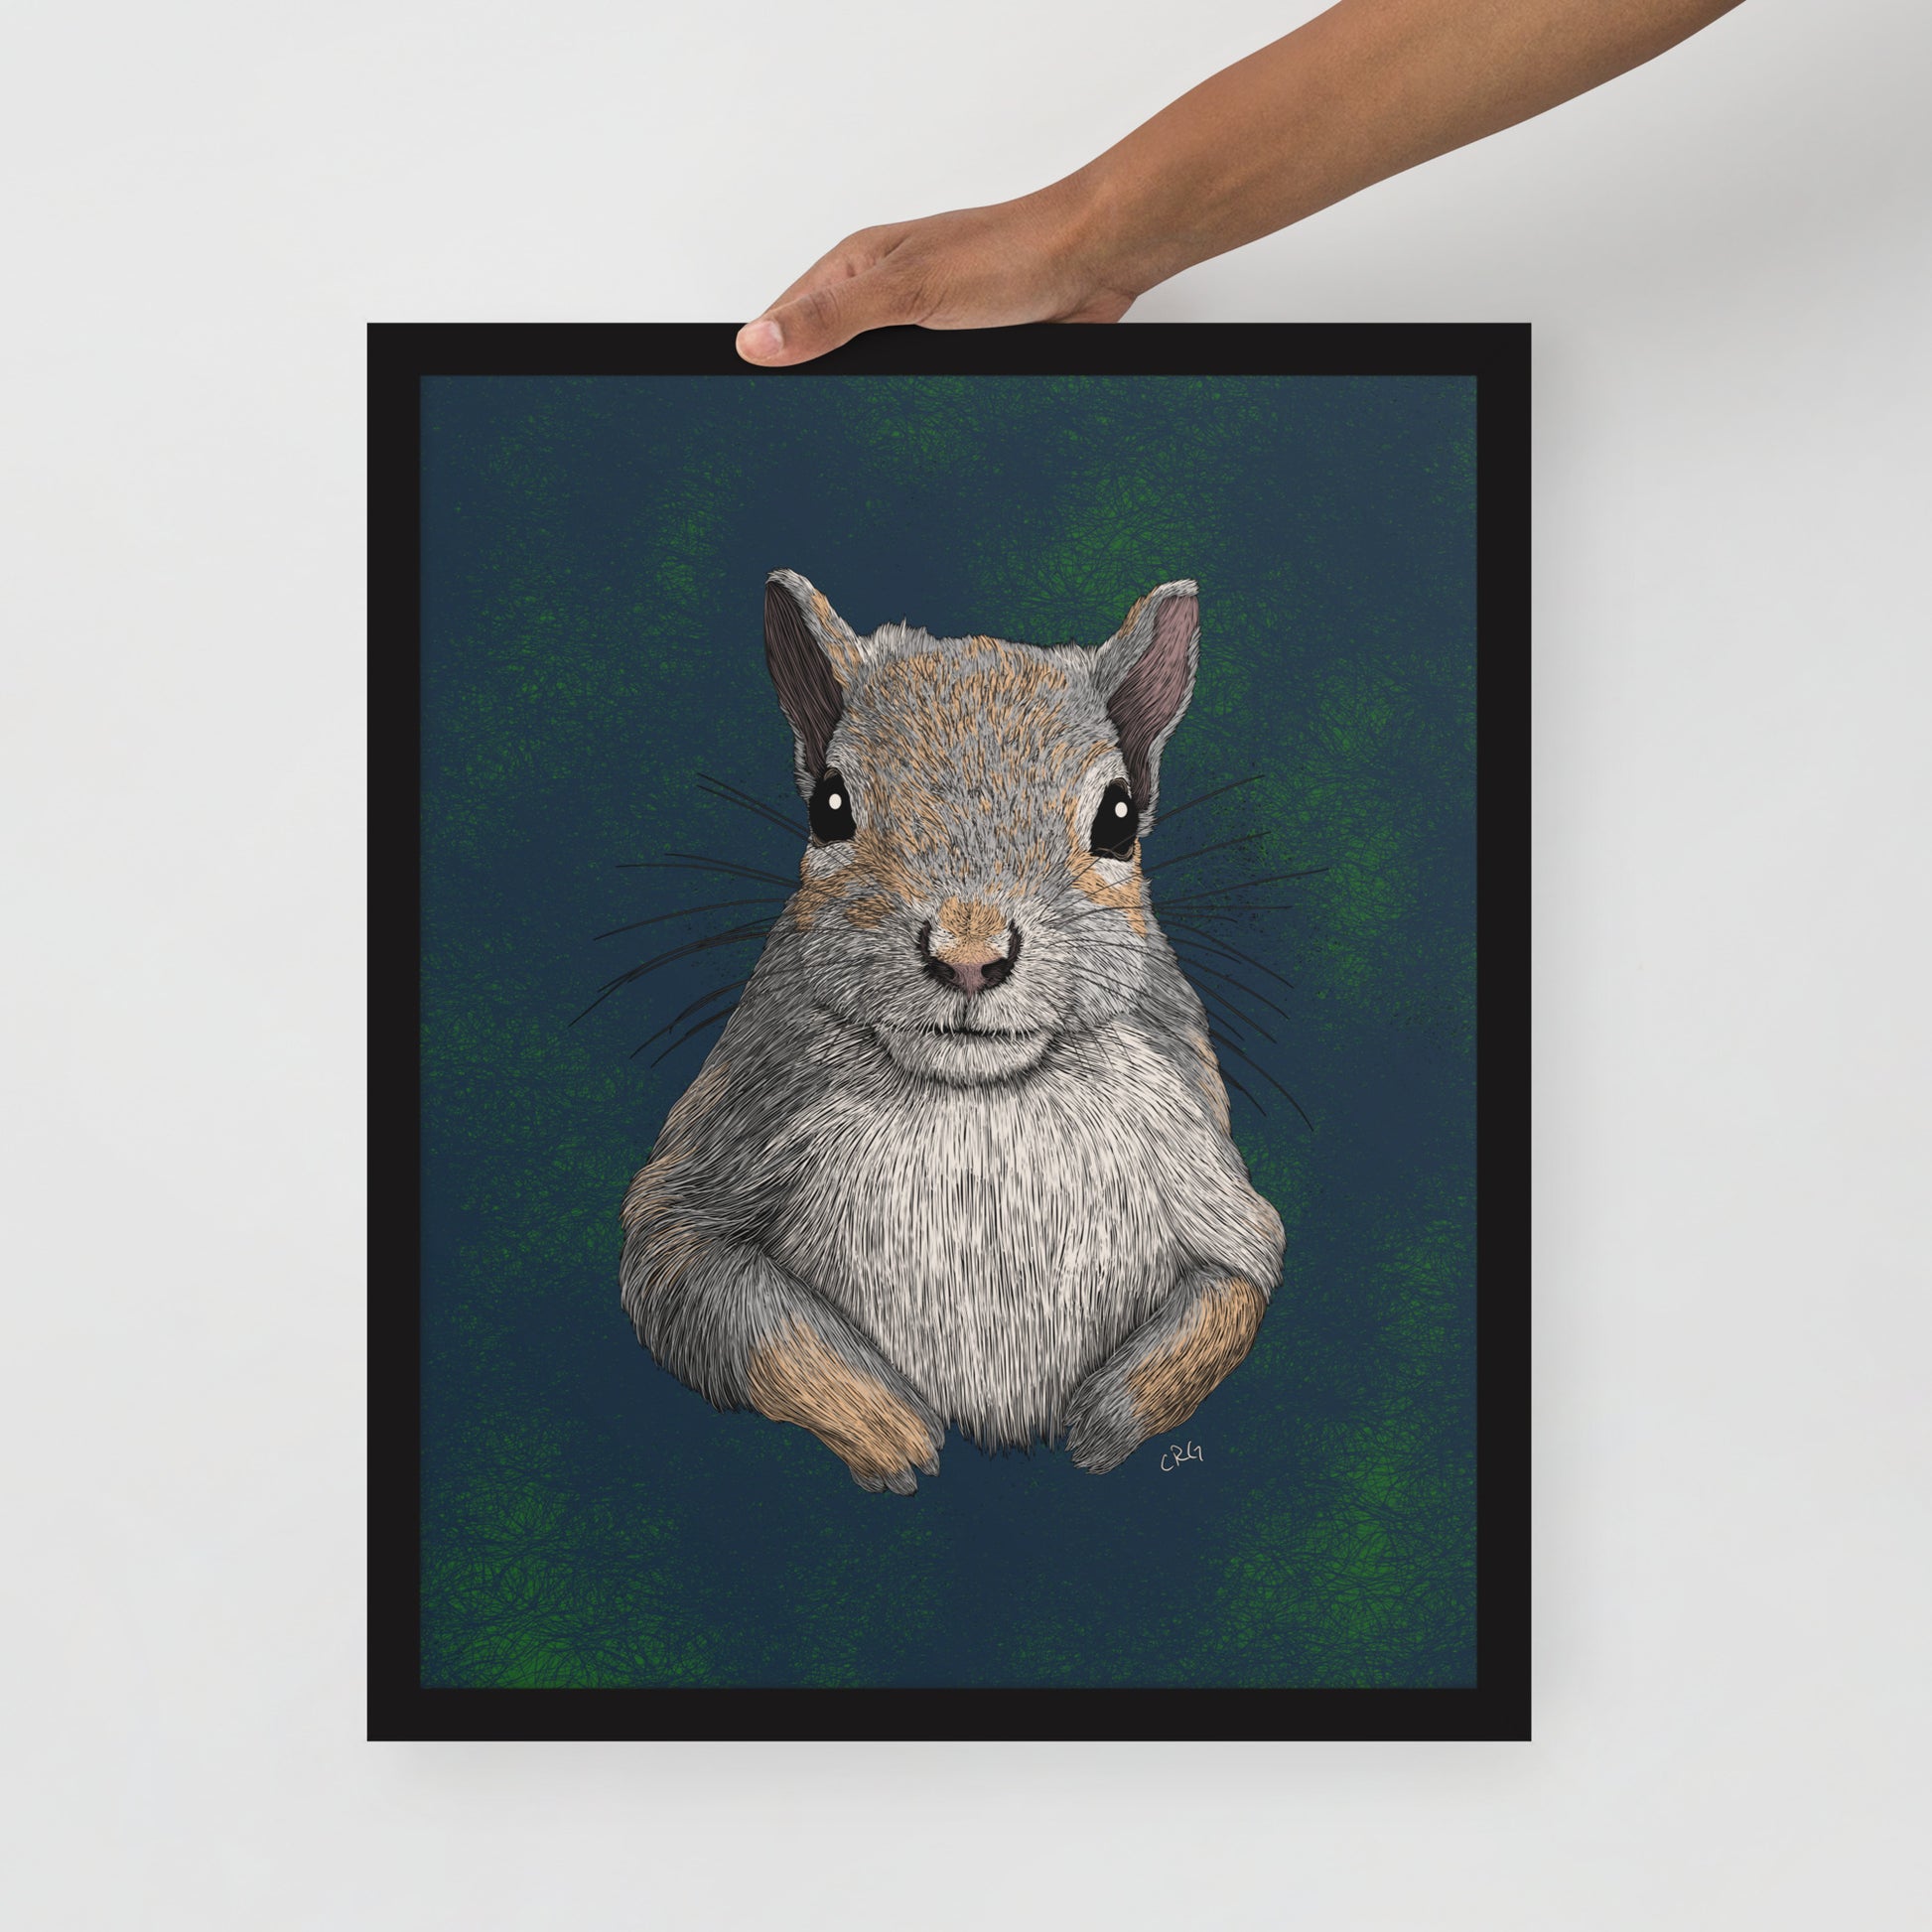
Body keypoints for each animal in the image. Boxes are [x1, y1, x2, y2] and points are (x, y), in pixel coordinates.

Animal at [619, 570, 1284, 1492]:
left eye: (1118, 819)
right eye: (829, 807)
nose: (970, 957)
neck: (977, 1095)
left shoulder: (1202, 1161)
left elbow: (1234, 1288)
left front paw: (1099, 1425)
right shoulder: (725, 1145)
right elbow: (714, 1297)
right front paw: (890, 1431)